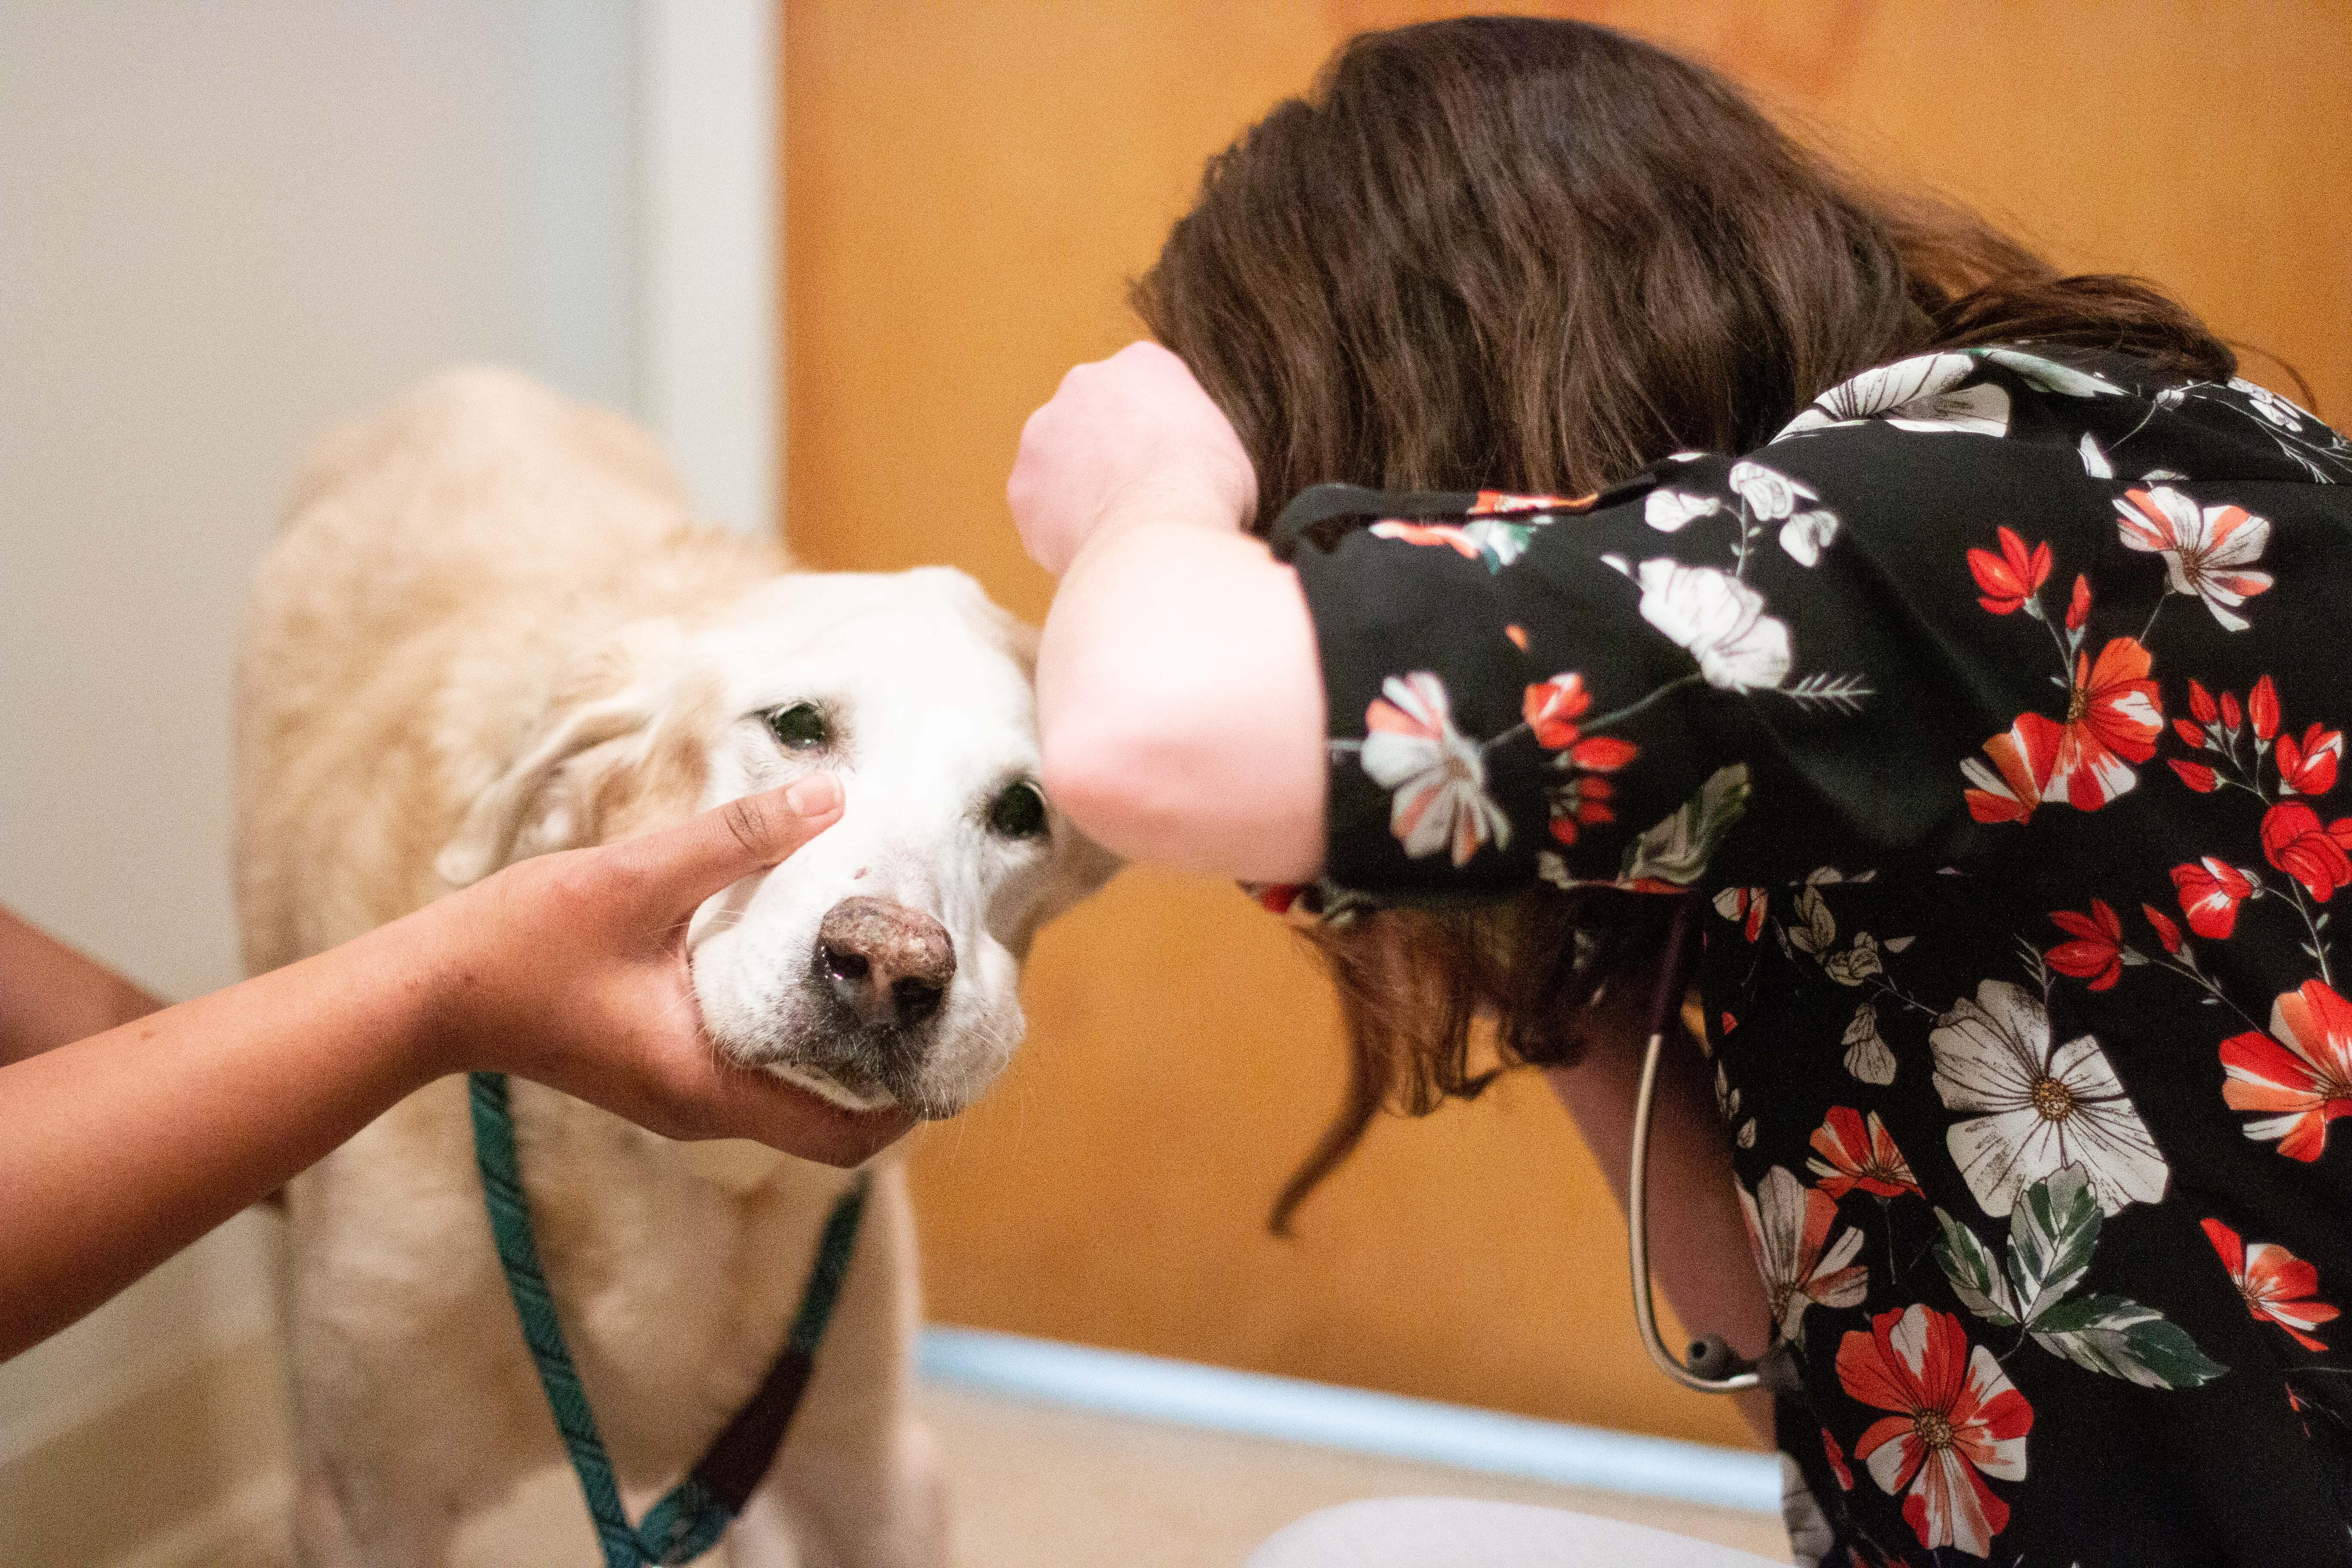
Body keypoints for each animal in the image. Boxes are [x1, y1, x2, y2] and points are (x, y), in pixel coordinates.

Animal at [234, 371, 1115, 1568]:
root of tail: (474, 381)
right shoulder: (370, 1504)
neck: (682, 1179)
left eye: (1023, 812)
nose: (888, 969)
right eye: (797, 726)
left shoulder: (875, 1472)